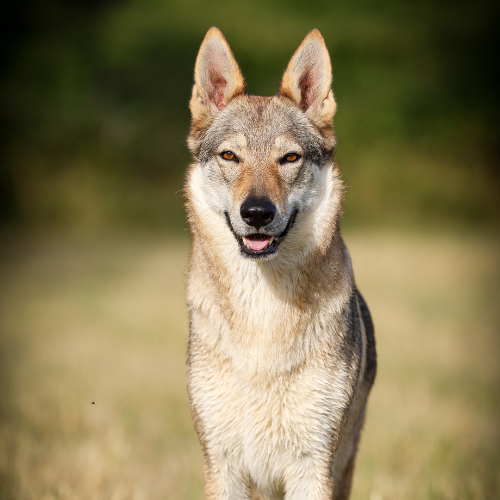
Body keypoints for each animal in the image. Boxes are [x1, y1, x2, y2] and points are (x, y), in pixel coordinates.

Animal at [186, 27, 376, 500]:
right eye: (230, 156)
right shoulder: (223, 465)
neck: (262, 315)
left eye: (289, 158)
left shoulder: (313, 466)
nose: (257, 212)